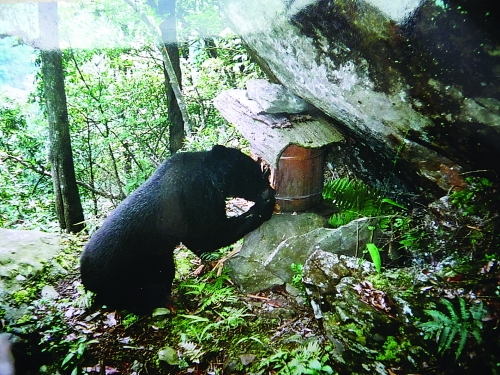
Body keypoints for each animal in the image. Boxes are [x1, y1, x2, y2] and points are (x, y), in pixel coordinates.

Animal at [82, 145, 278, 312]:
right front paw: (262, 209)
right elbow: (210, 233)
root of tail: (85, 278)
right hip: (128, 273)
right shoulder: (194, 195)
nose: (271, 191)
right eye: (256, 175)